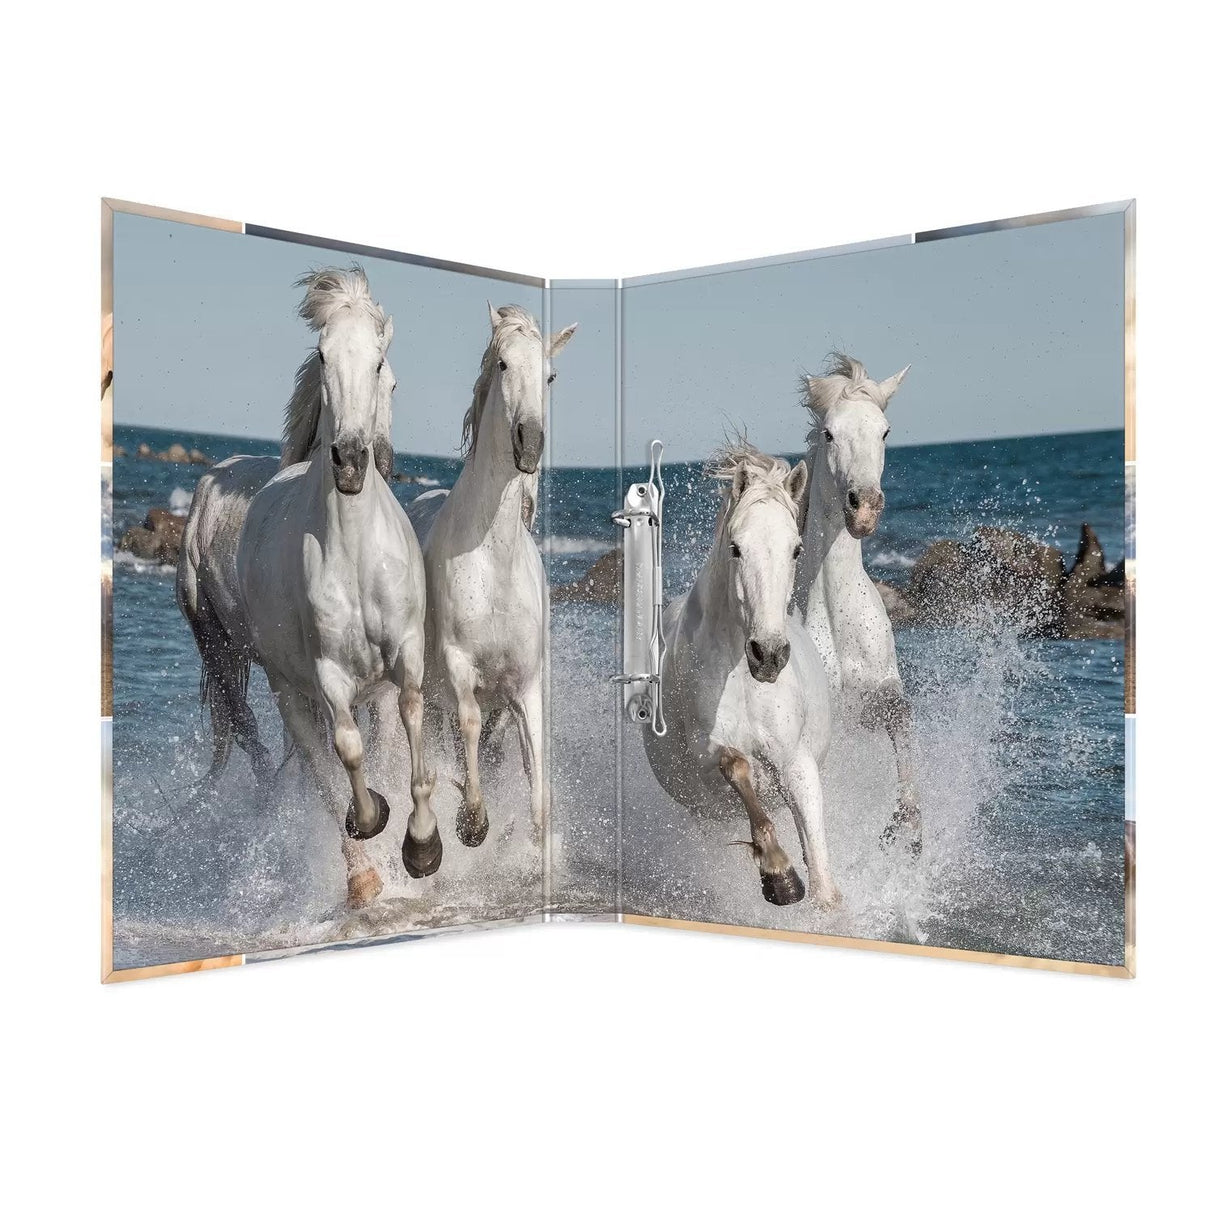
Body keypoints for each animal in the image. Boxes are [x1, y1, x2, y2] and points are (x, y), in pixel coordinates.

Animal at [236, 268, 437, 909]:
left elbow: (412, 730)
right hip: (289, 692)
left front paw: (423, 847)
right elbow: (347, 755)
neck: (353, 551)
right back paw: (363, 876)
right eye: (323, 355)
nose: (349, 461)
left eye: (381, 365)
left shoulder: (406, 657)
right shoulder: (328, 674)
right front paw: (375, 822)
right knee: (324, 765)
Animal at [406, 303, 576, 851]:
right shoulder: (460, 670)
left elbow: (536, 785)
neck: (495, 565)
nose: (531, 442)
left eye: (551, 375)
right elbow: (469, 725)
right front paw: (472, 820)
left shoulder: (525, 687)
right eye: (502, 364)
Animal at [643, 441, 841, 908]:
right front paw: (780, 874)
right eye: (736, 548)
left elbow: (823, 878)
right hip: (704, 812)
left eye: (796, 549)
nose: (768, 655)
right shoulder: (707, 757)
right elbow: (736, 765)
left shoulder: (796, 762)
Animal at [792, 352, 922, 853]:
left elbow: (901, 717)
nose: (864, 506)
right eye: (829, 433)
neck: (836, 615)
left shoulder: (875, 694)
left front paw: (907, 825)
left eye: (884, 431)